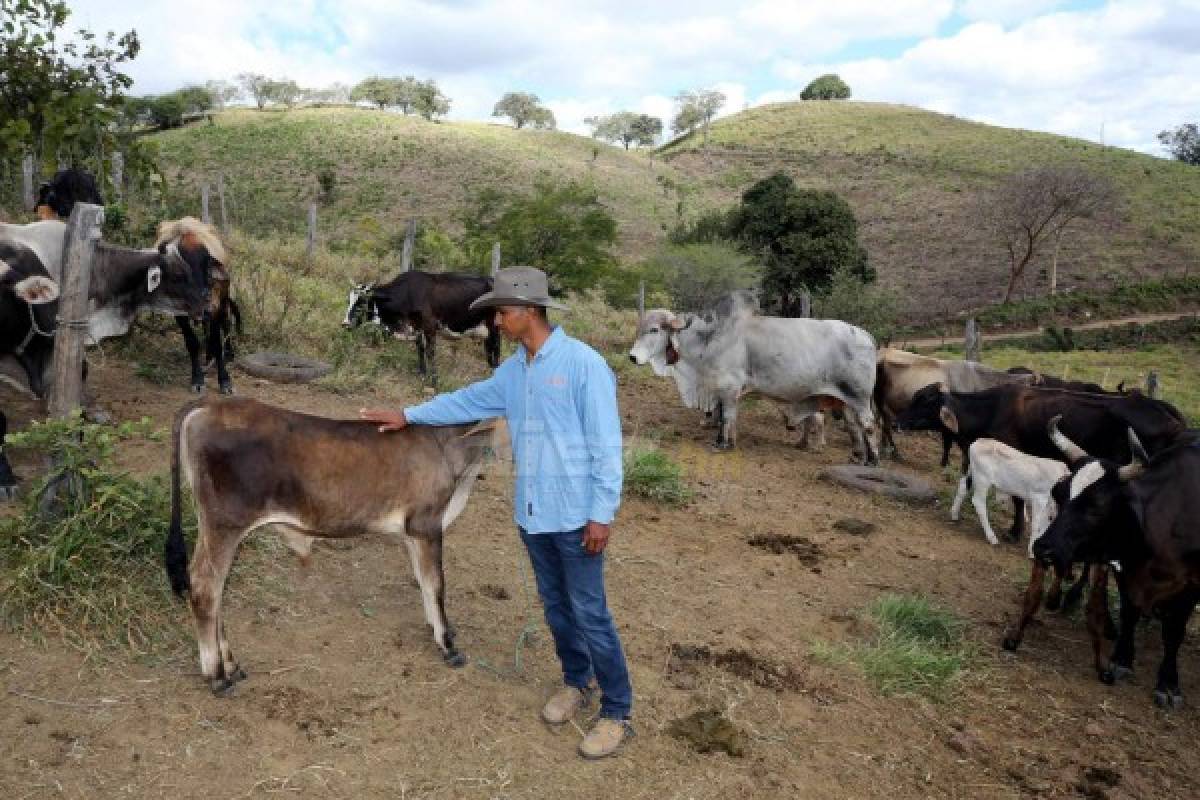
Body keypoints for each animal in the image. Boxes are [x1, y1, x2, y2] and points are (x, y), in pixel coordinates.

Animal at [162, 398, 499, 695]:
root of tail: (211, 403)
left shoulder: (411, 535)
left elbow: (423, 582)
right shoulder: (426, 525)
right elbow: (436, 584)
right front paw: (448, 645)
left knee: (214, 590)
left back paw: (231, 666)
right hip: (225, 526)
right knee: (206, 587)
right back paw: (218, 676)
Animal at [633, 291, 878, 462]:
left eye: (655, 329)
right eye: (639, 328)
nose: (632, 357)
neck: (710, 339)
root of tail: (867, 335)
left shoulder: (728, 389)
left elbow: (726, 417)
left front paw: (722, 444)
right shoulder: (726, 392)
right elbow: (729, 418)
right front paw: (728, 441)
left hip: (860, 397)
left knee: (868, 425)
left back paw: (872, 460)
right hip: (845, 400)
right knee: (853, 426)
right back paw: (856, 455)